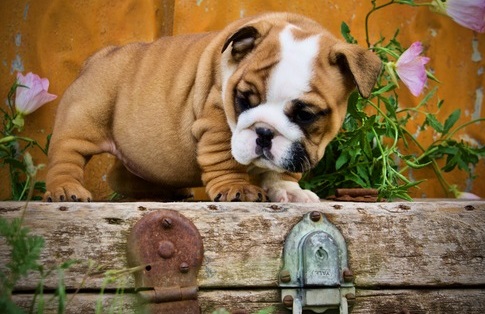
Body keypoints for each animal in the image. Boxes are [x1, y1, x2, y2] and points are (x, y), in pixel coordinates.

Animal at [44, 11, 382, 201]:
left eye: (305, 115)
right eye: (244, 99)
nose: (264, 132)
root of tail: (98, 57)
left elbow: (280, 169)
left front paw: (288, 189)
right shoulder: (216, 121)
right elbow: (225, 158)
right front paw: (236, 187)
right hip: (82, 122)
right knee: (66, 157)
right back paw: (66, 190)